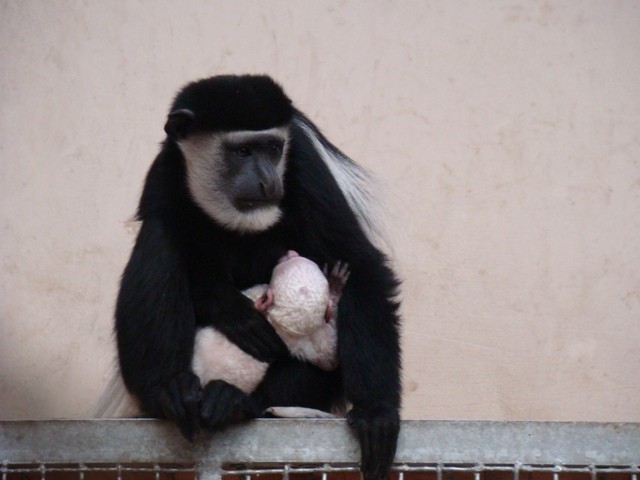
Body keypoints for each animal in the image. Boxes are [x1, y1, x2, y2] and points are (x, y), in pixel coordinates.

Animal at [115, 75, 400, 480]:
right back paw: (169, 393)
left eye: (273, 149)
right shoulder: (167, 170)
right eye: (243, 151)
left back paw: (234, 401)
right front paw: (236, 314)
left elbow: (362, 265)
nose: (268, 182)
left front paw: (376, 414)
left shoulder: (305, 169)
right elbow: (183, 248)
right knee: (159, 236)